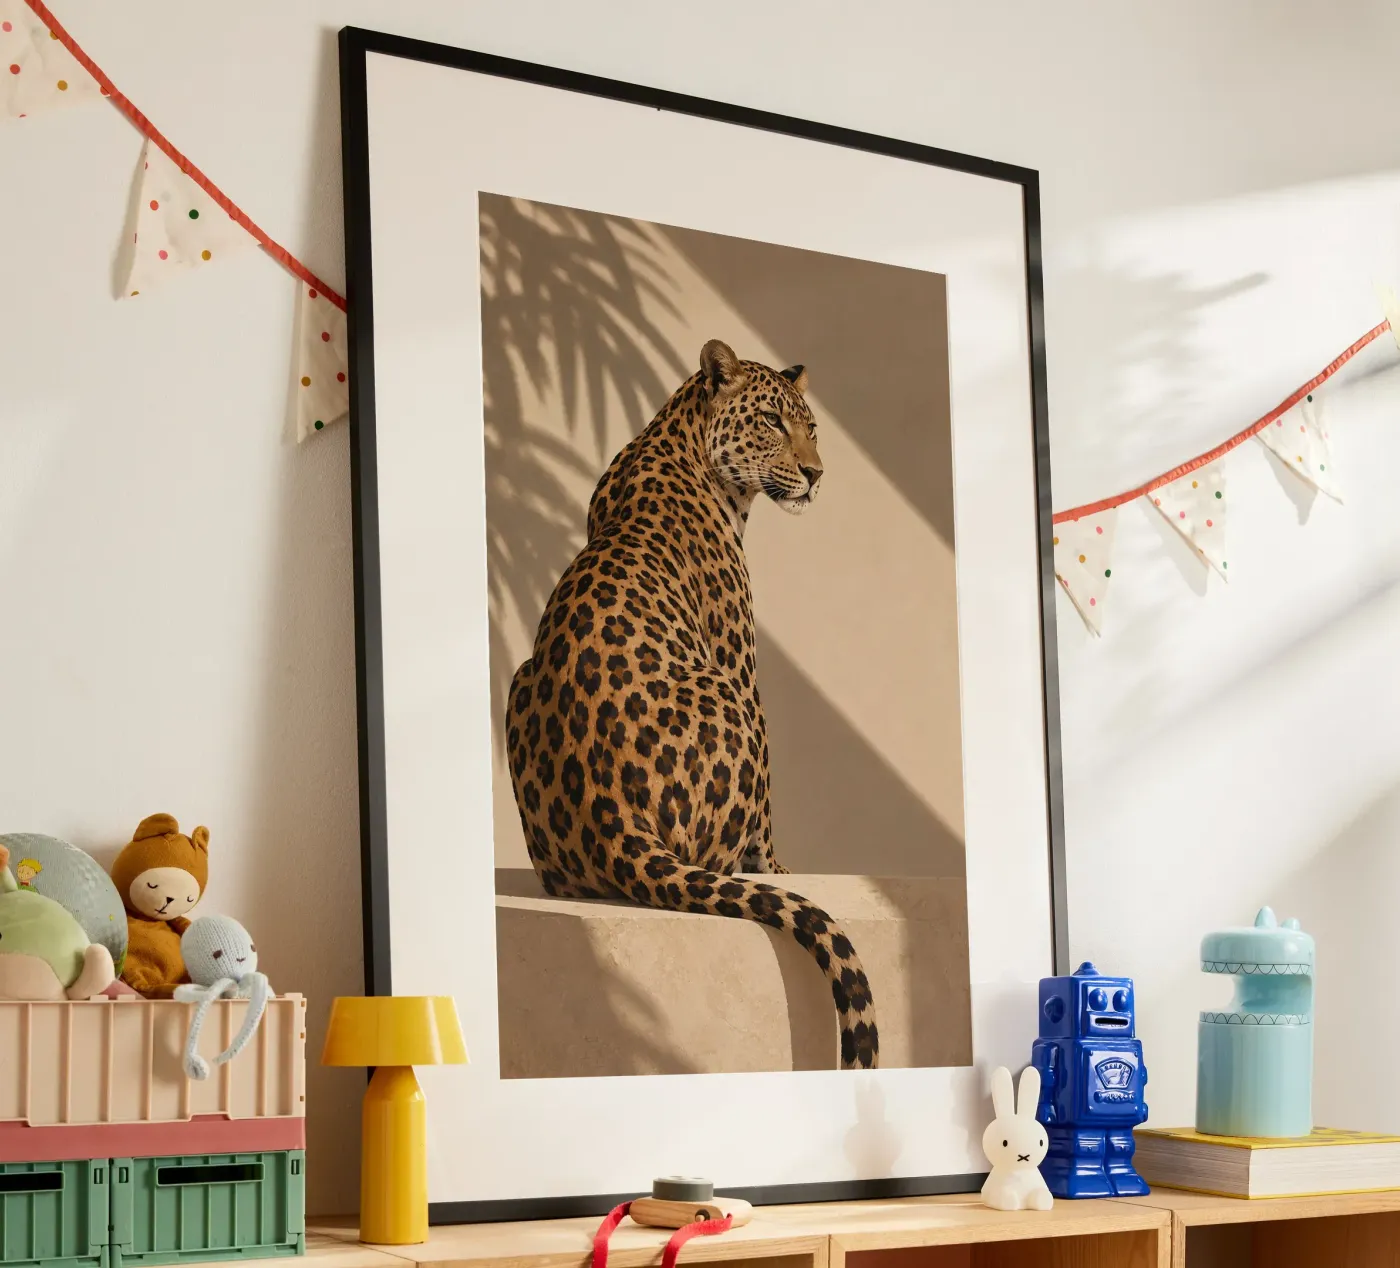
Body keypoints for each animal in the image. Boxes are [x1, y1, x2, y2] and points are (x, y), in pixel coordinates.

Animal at [506, 338, 878, 1070]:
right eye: (771, 422)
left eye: (812, 427)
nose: (815, 475)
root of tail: (615, 825)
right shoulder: (740, 658)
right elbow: (768, 813)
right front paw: (781, 867)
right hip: (725, 694)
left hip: (516, 681)